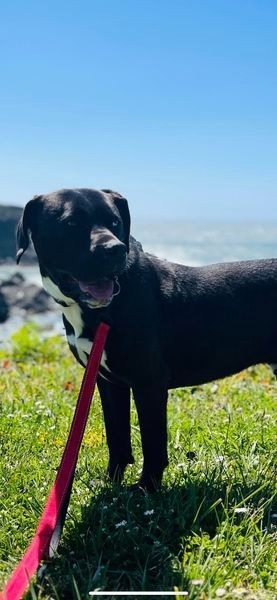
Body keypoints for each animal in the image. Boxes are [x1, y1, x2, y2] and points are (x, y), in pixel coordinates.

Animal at [16, 190, 276, 490]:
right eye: (70, 224)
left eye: (115, 222)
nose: (115, 249)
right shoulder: (108, 382)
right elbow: (116, 436)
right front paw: (111, 483)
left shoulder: (149, 383)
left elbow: (153, 444)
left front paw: (146, 489)